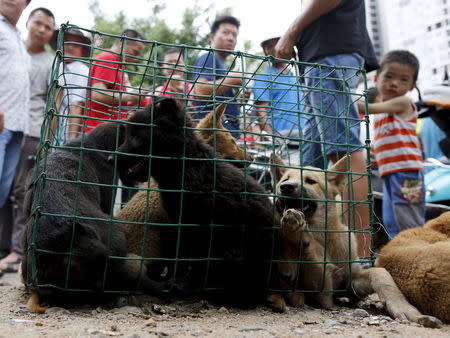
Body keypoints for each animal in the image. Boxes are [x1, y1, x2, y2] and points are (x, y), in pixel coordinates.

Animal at [268, 156, 442, 328]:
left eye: (311, 181)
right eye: (285, 179)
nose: (285, 187)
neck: (324, 237)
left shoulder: (352, 280)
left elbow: (380, 274)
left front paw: (404, 307)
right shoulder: (321, 288)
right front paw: (295, 230)